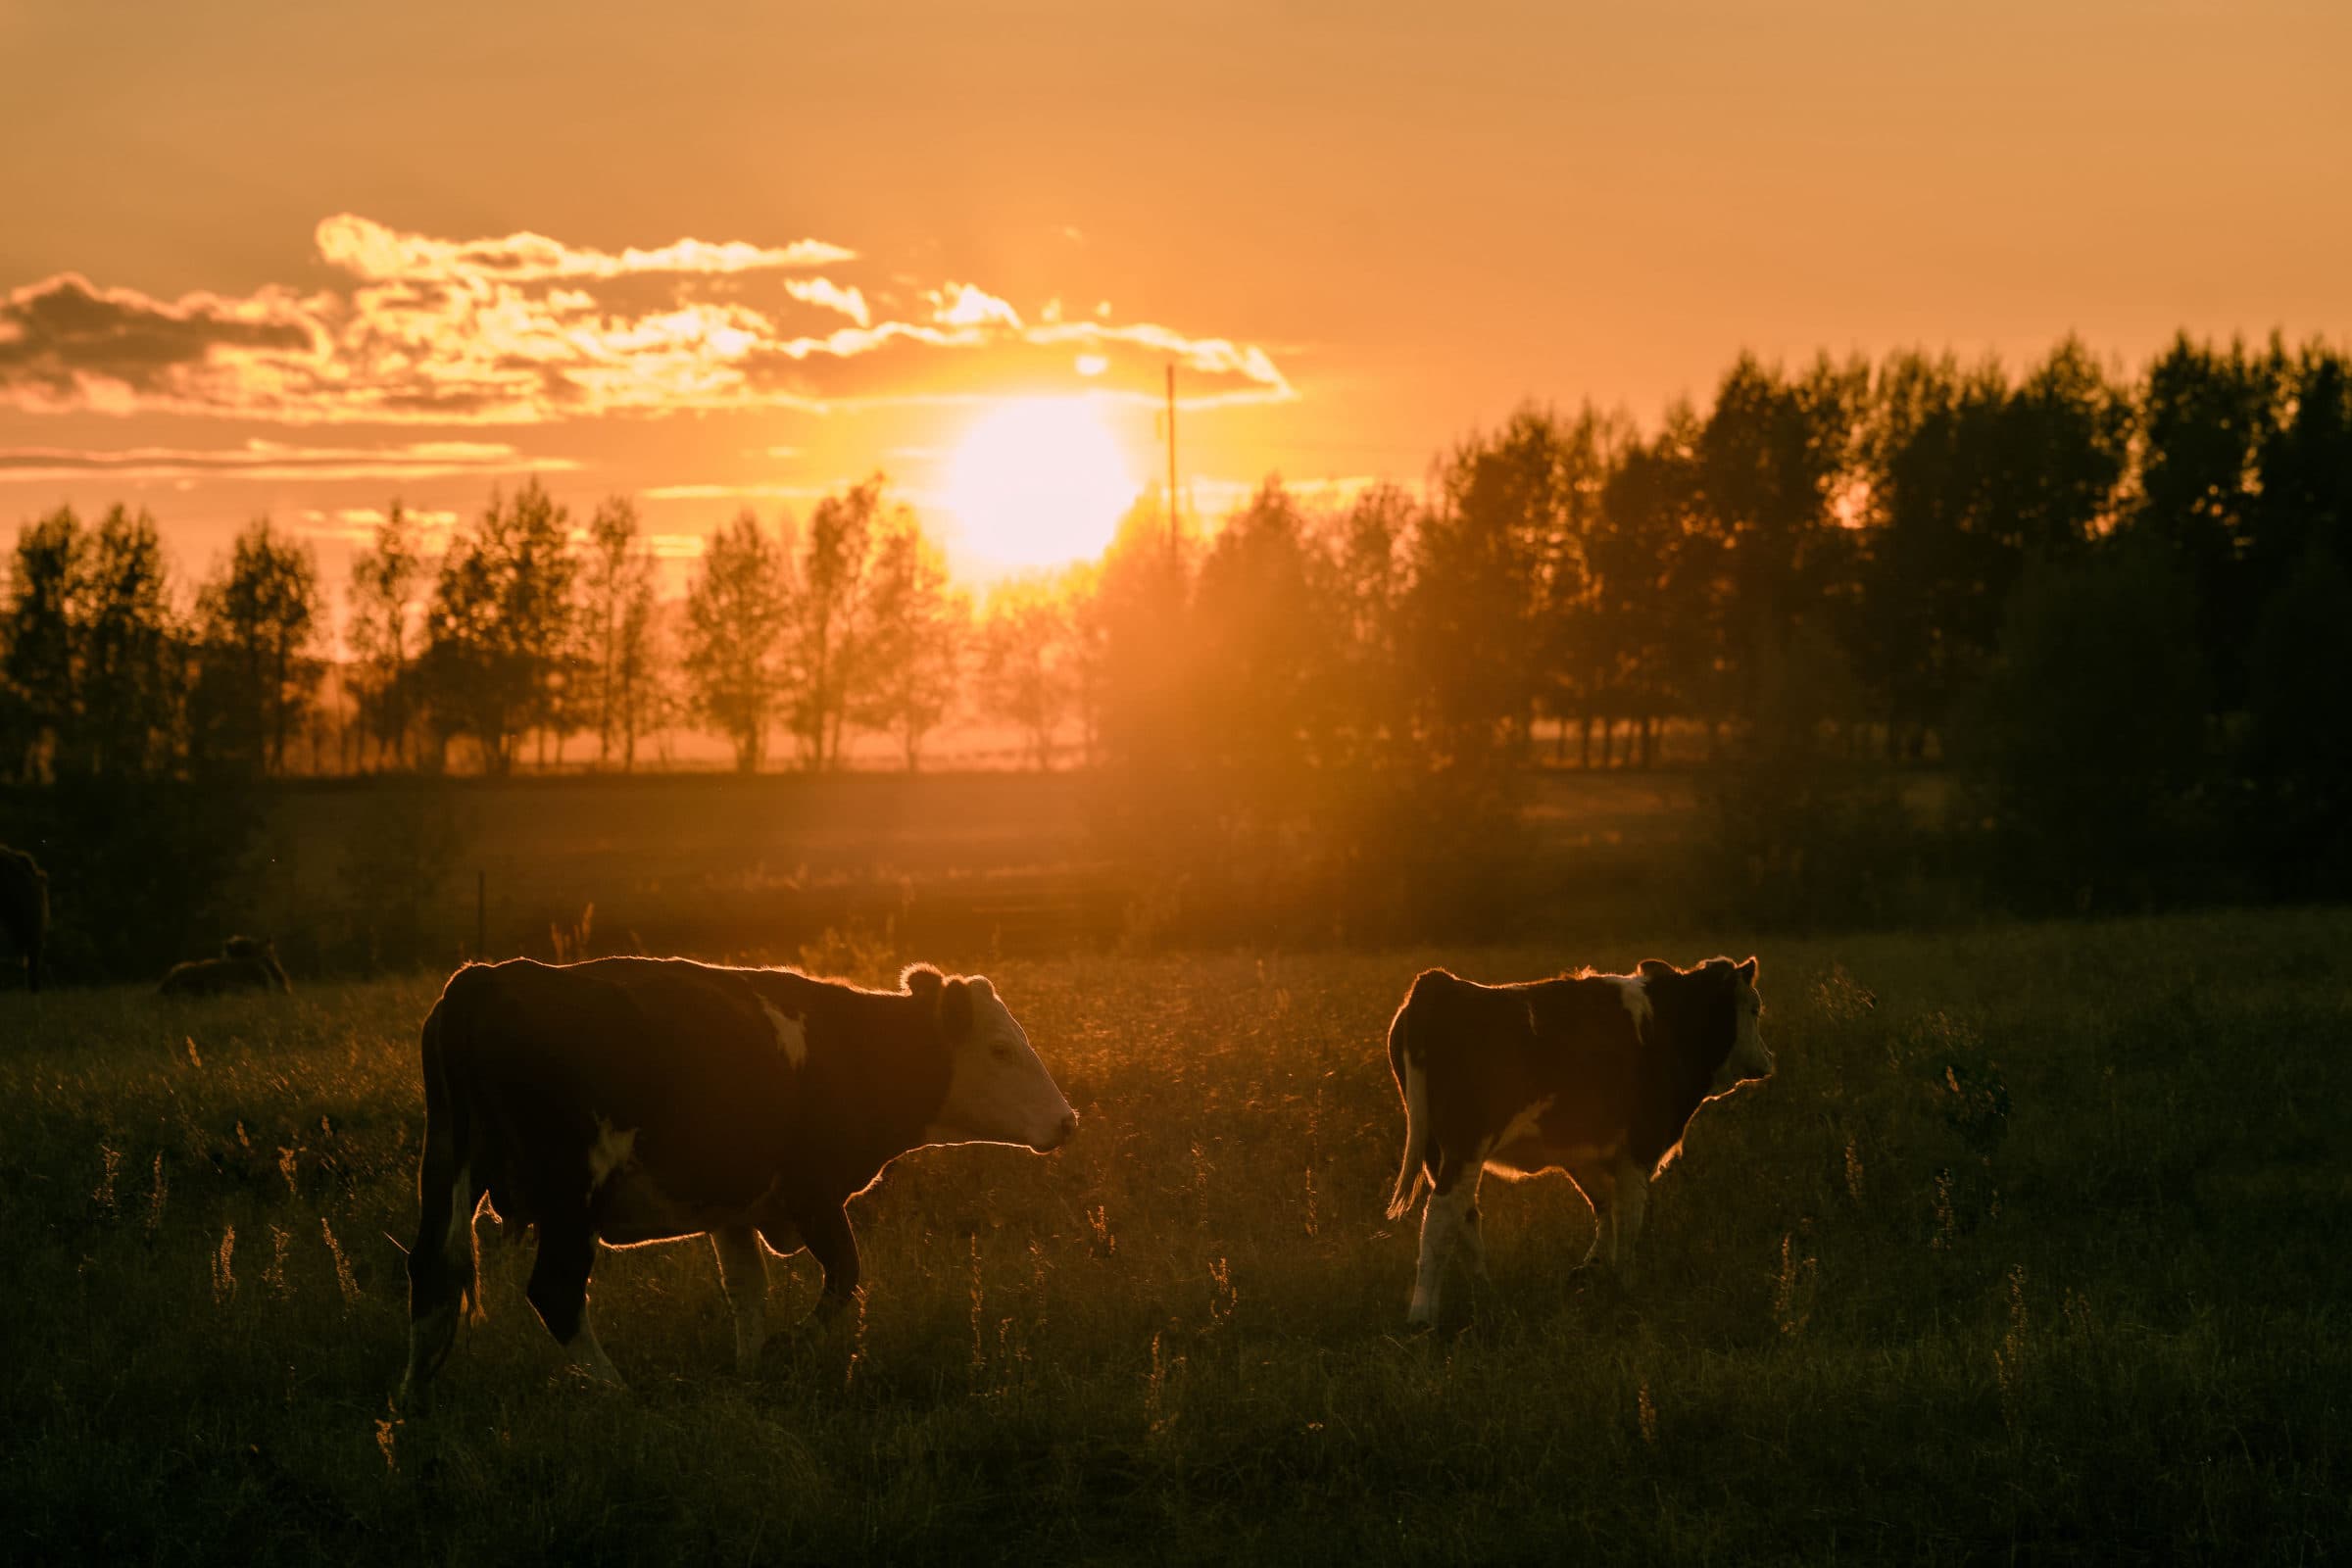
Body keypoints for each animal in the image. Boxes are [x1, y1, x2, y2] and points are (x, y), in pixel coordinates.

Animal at [399, 957, 1077, 1405]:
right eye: (1000, 1049)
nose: (1066, 1121)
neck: (849, 1048)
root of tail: (484, 979)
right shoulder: (812, 1193)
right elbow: (845, 1277)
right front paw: (786, 1351)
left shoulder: (734, 1208)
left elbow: (748, 1292)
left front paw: (751, 1372)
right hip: (571, 1197)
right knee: (556, 1291)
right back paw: (618, 1394)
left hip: (447, 1171)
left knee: (432, 1274)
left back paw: (410, 1408)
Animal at [1384, 955, 1773, 1326]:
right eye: (1755, 1008)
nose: (1768, 1060)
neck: (1669, 1023)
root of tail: (1439, 984)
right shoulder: (1639, 1147)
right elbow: (1628, 1218)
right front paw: (1625, 1285)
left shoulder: (1584, 1152)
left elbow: (1604, 1207)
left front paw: (1592, 1269)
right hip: (1465, 1146)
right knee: (1441, 1218)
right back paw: (1422, 1315)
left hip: (1437, 1151)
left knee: (1465, 1216)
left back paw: (1484, 1292)